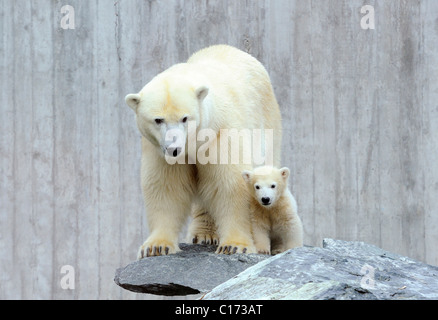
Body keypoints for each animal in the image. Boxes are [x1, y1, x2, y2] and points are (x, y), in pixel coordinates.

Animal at [125, 44, 282, 258]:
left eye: (185, 118)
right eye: (158, 120)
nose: (174, 149)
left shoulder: (220, 133)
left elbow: (230, 184)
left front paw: (234, 245)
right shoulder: (158, 150)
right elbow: (167, 187)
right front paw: (156, 246)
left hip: (266, 122)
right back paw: (203, 233)